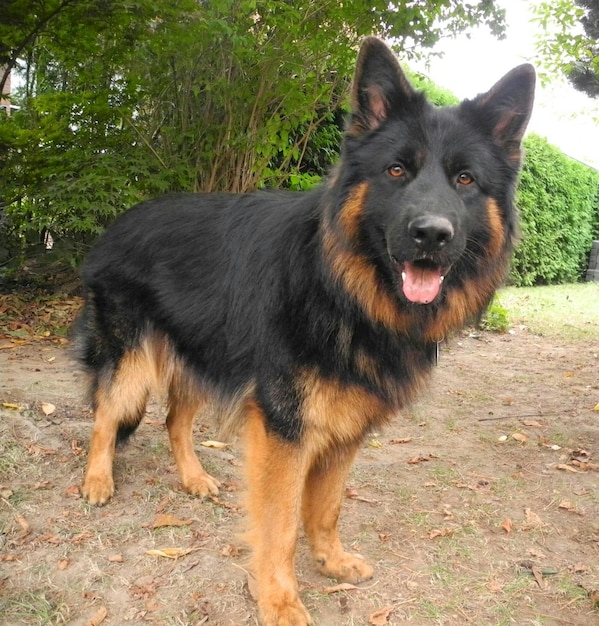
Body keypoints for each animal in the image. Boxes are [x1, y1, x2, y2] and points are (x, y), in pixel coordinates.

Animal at [74, 37, 536, 624]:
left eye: (465, 180)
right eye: (396, 171)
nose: (432, 234)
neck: (342, 289)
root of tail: (121, 221)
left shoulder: (345, 428)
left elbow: (327, 506)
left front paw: (331, 560)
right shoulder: (282, 430)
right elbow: (280, 524)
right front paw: (279, 600)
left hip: (205, 358)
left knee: (175, 420)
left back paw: (194, 477)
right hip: (131, 360)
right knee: (105, 414)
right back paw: (97, 479)